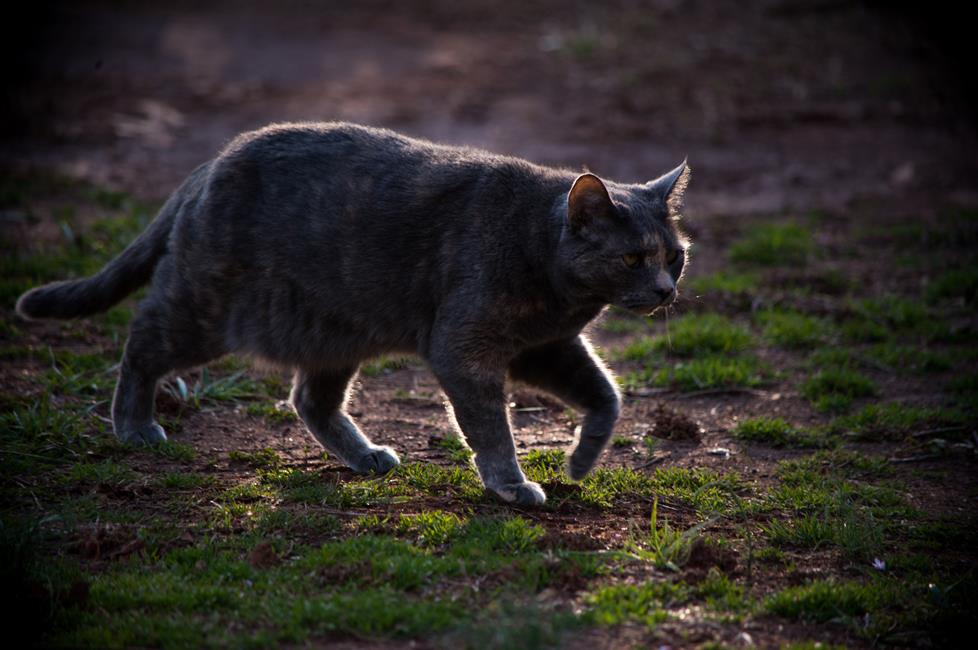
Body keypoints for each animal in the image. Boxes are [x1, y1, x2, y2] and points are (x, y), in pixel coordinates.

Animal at [15, 123, 688, 506]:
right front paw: (510, 484)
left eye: (675, 257)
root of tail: (210, 164)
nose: (663, 290)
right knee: (140, 342)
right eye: (633, 257)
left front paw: (580, 459)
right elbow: (490, 426)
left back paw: (365, 456)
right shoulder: (465, 346)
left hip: (334, 330)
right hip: (205, 308)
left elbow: (607, 395)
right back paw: (134, 425)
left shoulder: (544, 347)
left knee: (309, 399)